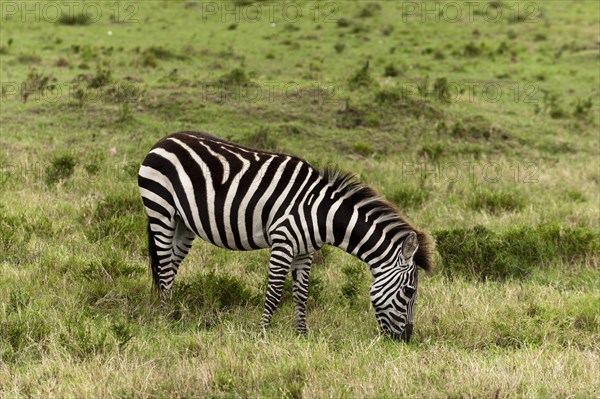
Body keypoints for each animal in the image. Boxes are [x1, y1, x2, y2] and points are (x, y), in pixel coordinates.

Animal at [138, 132, 434, 344]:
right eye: (410, 292)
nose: (405, 340)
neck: (321, 213)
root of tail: (164, 139)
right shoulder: (283, 242)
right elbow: (274, 292)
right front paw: (262, 334)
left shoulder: (305, 251)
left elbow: (301, 294)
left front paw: (302, 335)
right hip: (161, 211)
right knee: (164, 268)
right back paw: (164, 320)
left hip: (184, 224)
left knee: (171, 266)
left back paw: (173, 314)